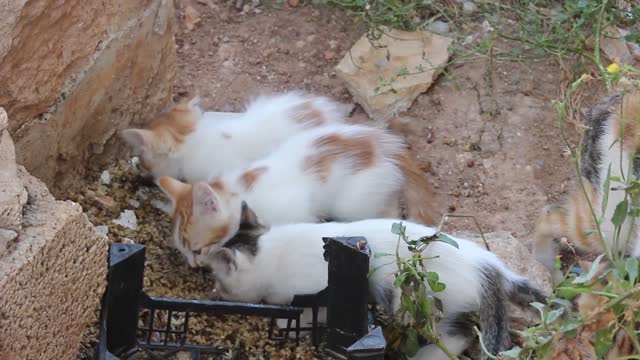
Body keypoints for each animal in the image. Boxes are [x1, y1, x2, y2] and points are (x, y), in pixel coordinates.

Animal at [158, 124, 438, 268]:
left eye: (197, 249)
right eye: (182, 251)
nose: (193, 264)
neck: (239, 190)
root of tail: (387, 146)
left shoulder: (294, 211)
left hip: (358, 202)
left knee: (388, 212)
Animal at [202, 202, 544, 360]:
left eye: (217, 278)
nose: (214, 290)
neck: (270, 253)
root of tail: (487, 262)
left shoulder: (316, 292)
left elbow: (306, 313)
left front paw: (286, 323)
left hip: (432, 302)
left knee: (459, 334)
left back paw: (426, 355)